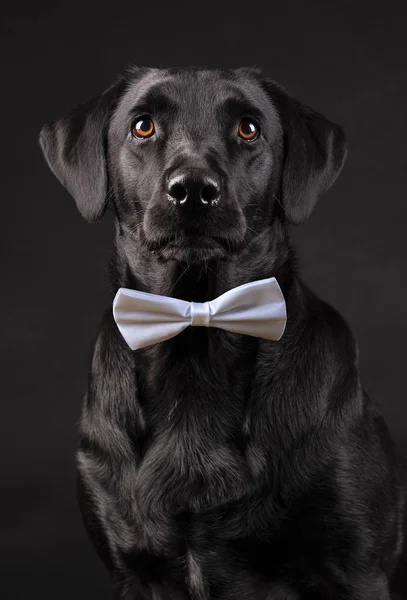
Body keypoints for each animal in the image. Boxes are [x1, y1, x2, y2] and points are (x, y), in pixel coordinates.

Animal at [39, 68, 406, 596]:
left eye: (248, 128)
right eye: (143, 125)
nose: (193, 190)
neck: (196, 341)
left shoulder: (358, 570)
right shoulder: (131, 570)